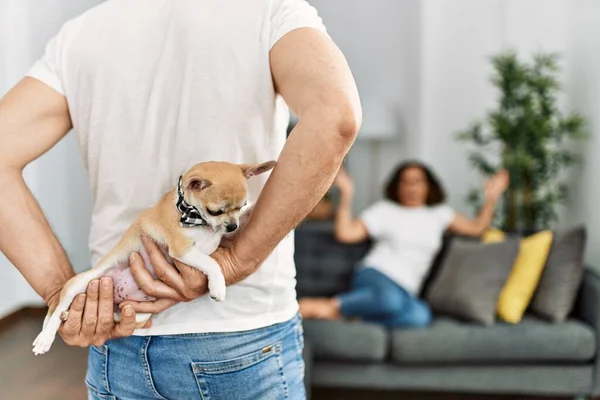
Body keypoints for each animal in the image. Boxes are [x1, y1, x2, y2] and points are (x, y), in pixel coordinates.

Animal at [32, 159, 276, 354]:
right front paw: (218, 287)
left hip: (135, 312)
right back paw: (46, 337)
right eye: (215, 211)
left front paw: (252, 209)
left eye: (240, 206)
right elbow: (211, 262)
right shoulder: (183, 250)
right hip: (80, 283)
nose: (232, 226)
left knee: (114, 317)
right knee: (56, 311)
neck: (192, 215)